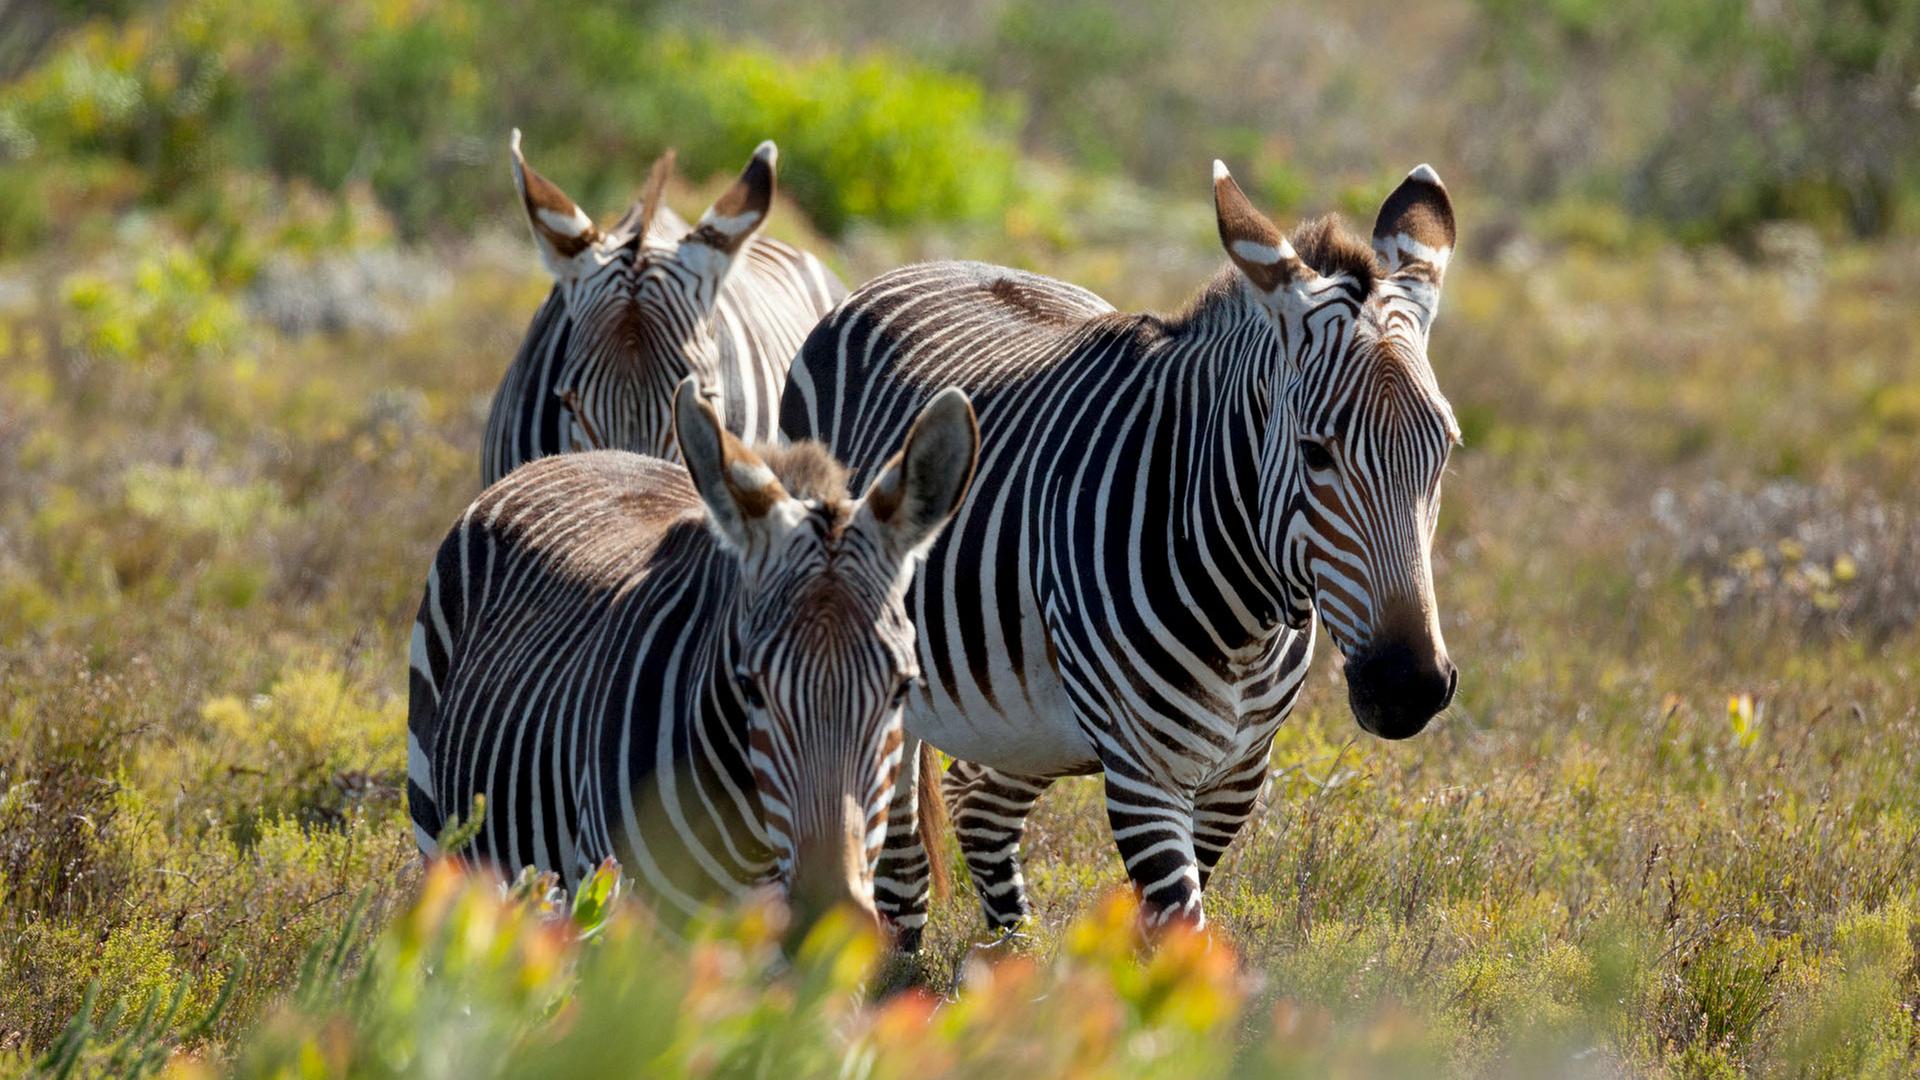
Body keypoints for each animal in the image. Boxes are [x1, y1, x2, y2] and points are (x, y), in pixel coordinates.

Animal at [779, 160, 1462, 939]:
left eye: (1444, 450)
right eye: (1316, 453)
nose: (1409, 685)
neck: (1247, 620)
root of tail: (919, 266)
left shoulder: (1237, 776)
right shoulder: (1142, 772)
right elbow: (1179, 931)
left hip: (1031, 717)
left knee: (975, 801)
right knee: (897, 866)